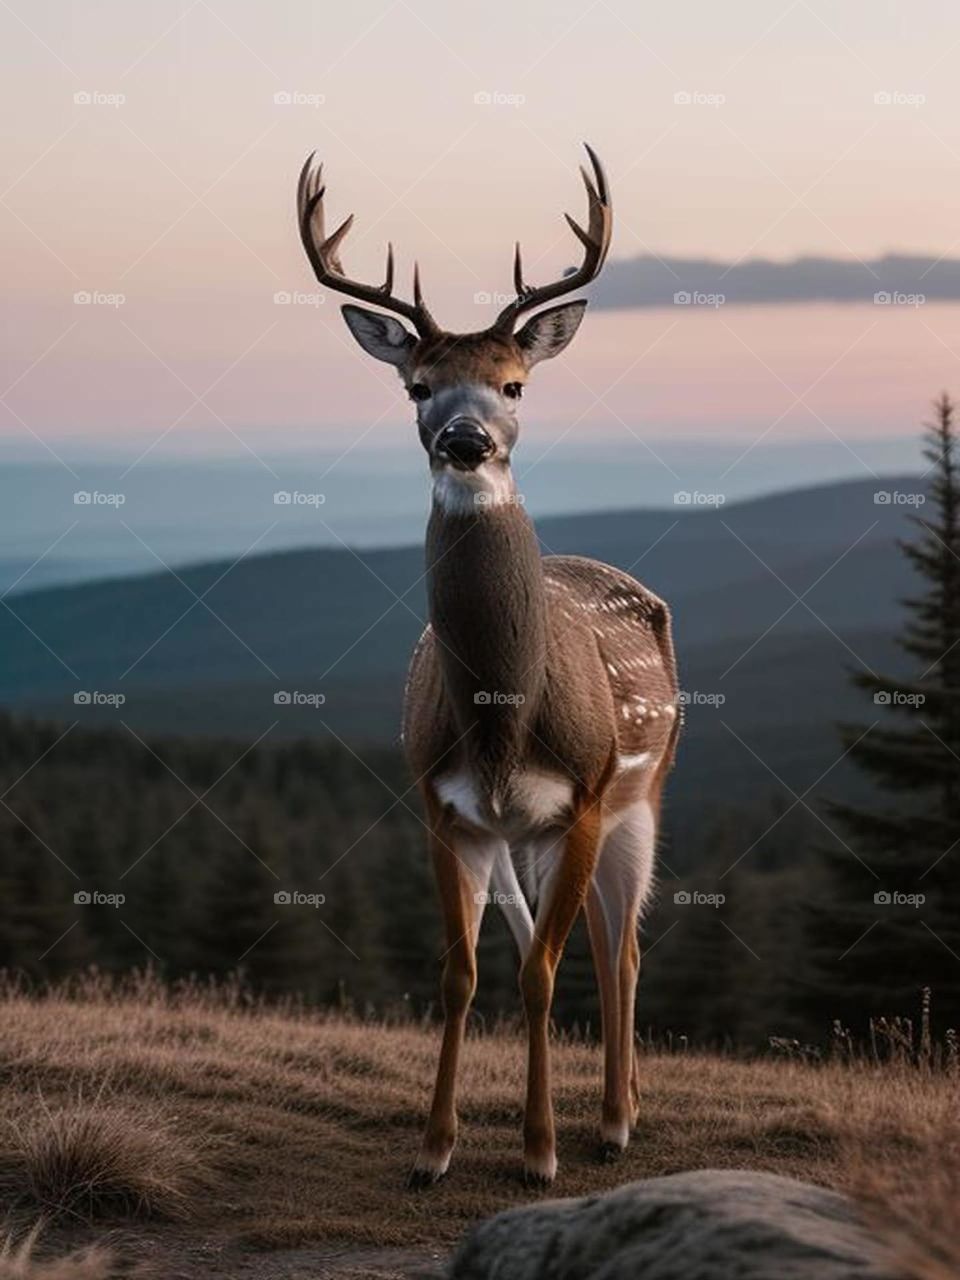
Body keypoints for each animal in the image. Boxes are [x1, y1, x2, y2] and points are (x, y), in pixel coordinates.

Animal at [297, 145, 680, 1186]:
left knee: (620, 947)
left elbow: (544, 971)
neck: (505, 723)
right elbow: (463, 972)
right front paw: (434, 1149)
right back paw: (611, 1110)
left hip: (640, 791)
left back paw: (615, 1121)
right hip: (527, 835)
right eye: (417, 386)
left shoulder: (582, 796)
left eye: (514, 385)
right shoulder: (442, 806)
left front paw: (539, 1153)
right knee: (574, 940)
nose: (465, 440)